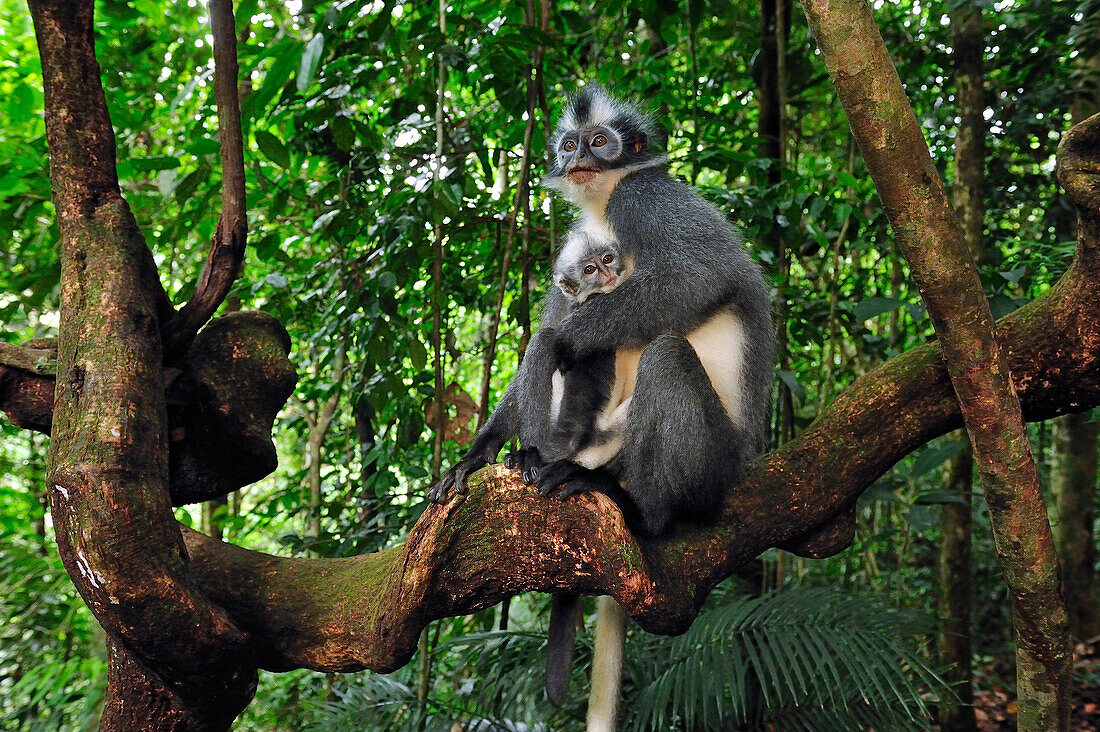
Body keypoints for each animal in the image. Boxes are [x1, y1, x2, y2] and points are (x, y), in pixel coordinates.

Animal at [429, 84, 774, 726]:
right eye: (569, 144)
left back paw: (642, 512)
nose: (579, 159)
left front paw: (553, 344)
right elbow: (559, 312)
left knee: (665, 353)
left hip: (714, 460)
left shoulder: (647, 200)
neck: (603, 201)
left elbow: (702, 276)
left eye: (599, 141)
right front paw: (479, 451)